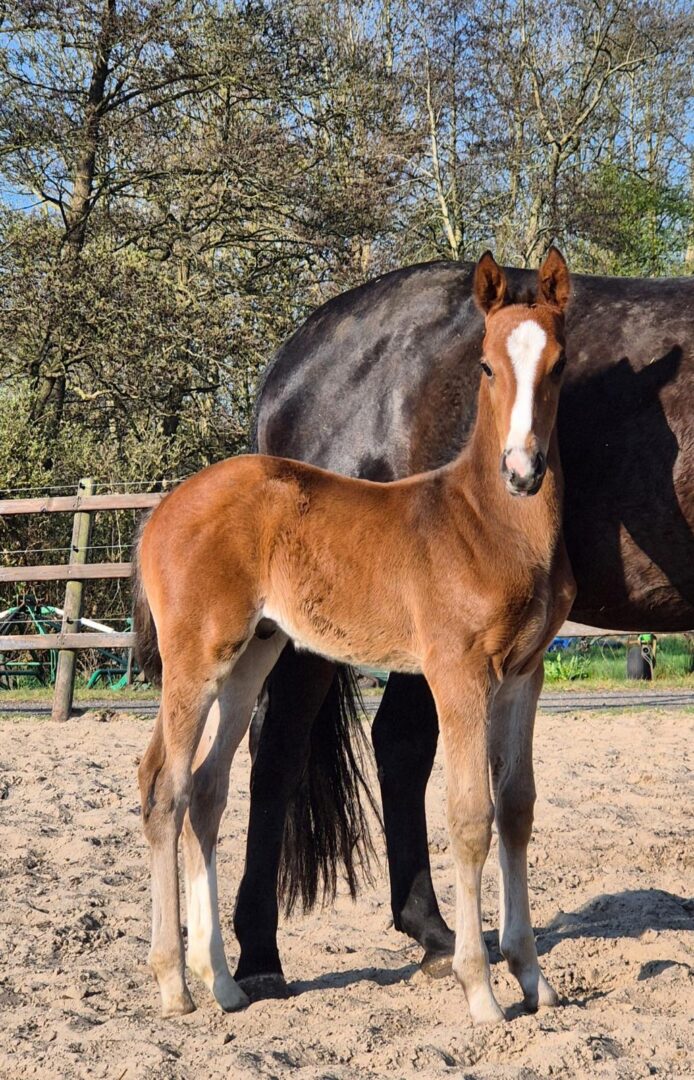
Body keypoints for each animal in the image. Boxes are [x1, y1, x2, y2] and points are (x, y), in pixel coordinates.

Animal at [135, 249, 575, 1025]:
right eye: (486, 365)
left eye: (558, 364)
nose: (523, 471)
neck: (484, 519)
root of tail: (160, 512)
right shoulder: (457, 673)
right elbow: (471, 816)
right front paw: (481, 992)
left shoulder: (525, 673)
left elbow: (517, 809)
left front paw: (533, 979)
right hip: (196, 660)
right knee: (166, 787)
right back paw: (174, 984)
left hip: (252, 654)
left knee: (207, 791)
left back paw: (223, 982)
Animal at [233, 256, 694, 999]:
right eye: (487, 367)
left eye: (563, 367)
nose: (523, 470)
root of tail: (297, 354)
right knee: (276, 749)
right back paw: (259, 959)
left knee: (397, 743)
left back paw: (435, 933)